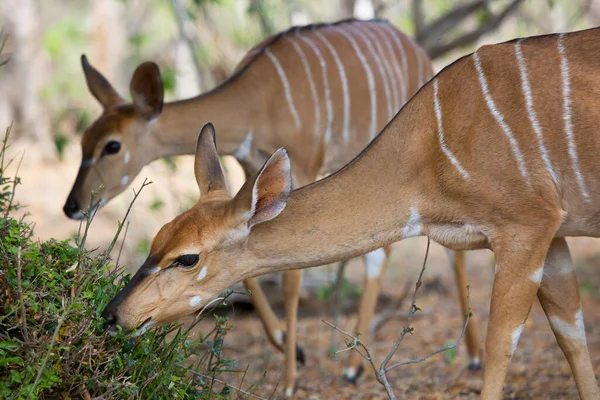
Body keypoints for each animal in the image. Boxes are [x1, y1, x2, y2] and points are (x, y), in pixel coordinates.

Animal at [103, 26, 600, 398]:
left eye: (187, 257)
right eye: (157, 239)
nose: (112, 314)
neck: (426, 154)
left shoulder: (525, 226)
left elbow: (502, 345)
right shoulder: (553, 235)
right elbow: (572, 337)